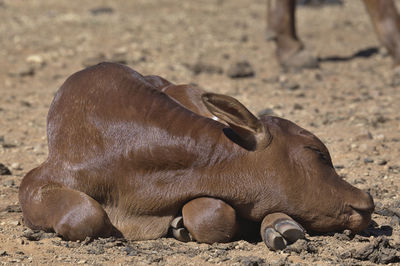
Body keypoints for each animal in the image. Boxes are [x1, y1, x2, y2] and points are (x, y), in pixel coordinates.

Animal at [18, 62, 376, 249]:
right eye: (318, 153)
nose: (367, 201)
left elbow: (215, 214)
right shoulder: (37, 180)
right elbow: (83, 215)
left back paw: (281, 226)